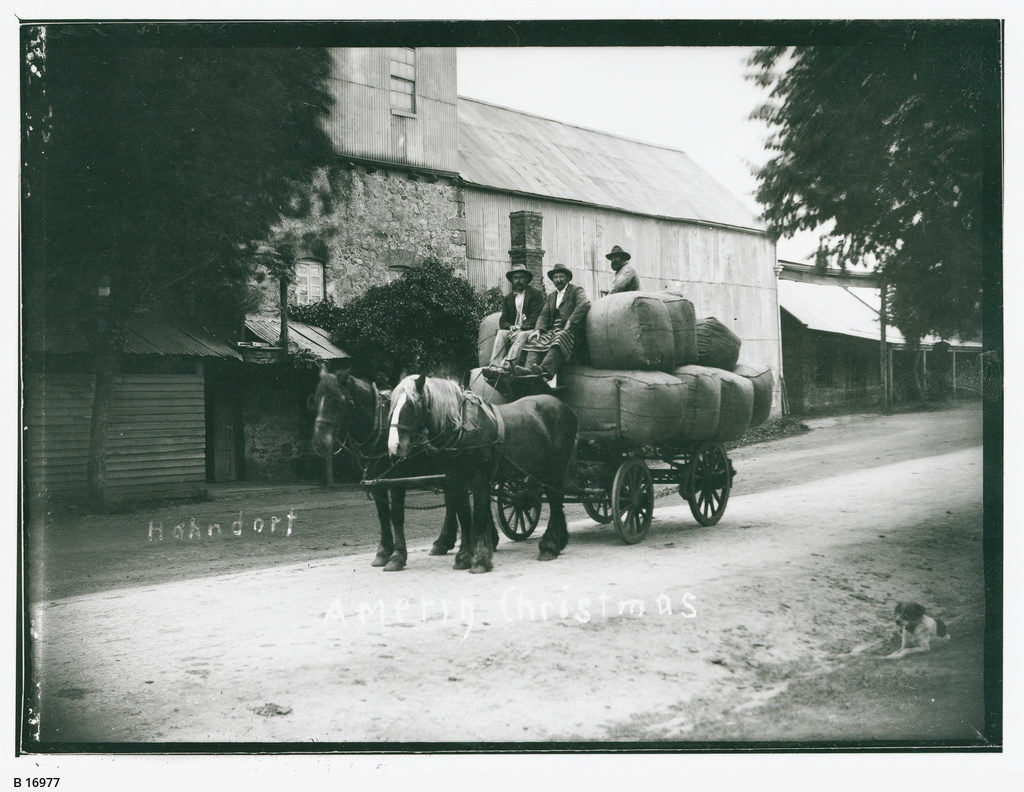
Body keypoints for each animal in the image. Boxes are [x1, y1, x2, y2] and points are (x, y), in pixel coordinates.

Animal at [309, 366, 473, 569]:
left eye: (336, 400)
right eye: (316, 399)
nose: (319, 442)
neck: (380, 427)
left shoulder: (396, 480)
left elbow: (396, 515)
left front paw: (398, 556)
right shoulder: (376, 481)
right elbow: (382, 514)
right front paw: (383, 551)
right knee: (452, 500)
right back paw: (443, 542)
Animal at [385, 372, 577, 569]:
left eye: (410, 405)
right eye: (391, 405)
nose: (394, 446)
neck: (463, 428)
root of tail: (564, 406)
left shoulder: (479, 478)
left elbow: (478, 515)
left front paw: (480, 559)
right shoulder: (455, 479)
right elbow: (464, 515)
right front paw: (463, 557)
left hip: (554, 470)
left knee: (555, 501)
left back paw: (549, 545)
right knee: (554, 501)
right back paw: (559, 540)